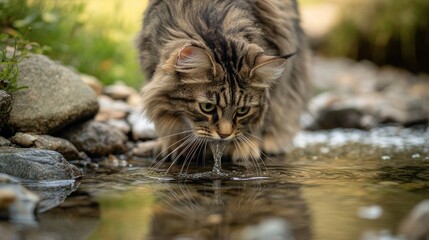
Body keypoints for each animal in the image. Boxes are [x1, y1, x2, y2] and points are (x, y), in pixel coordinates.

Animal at [136, 0, 308, 169]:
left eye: (243, 110)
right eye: (207, 107)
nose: (225, 135)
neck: (210, 22)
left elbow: (260, 121)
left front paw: (245, 147)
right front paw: (176, 145)